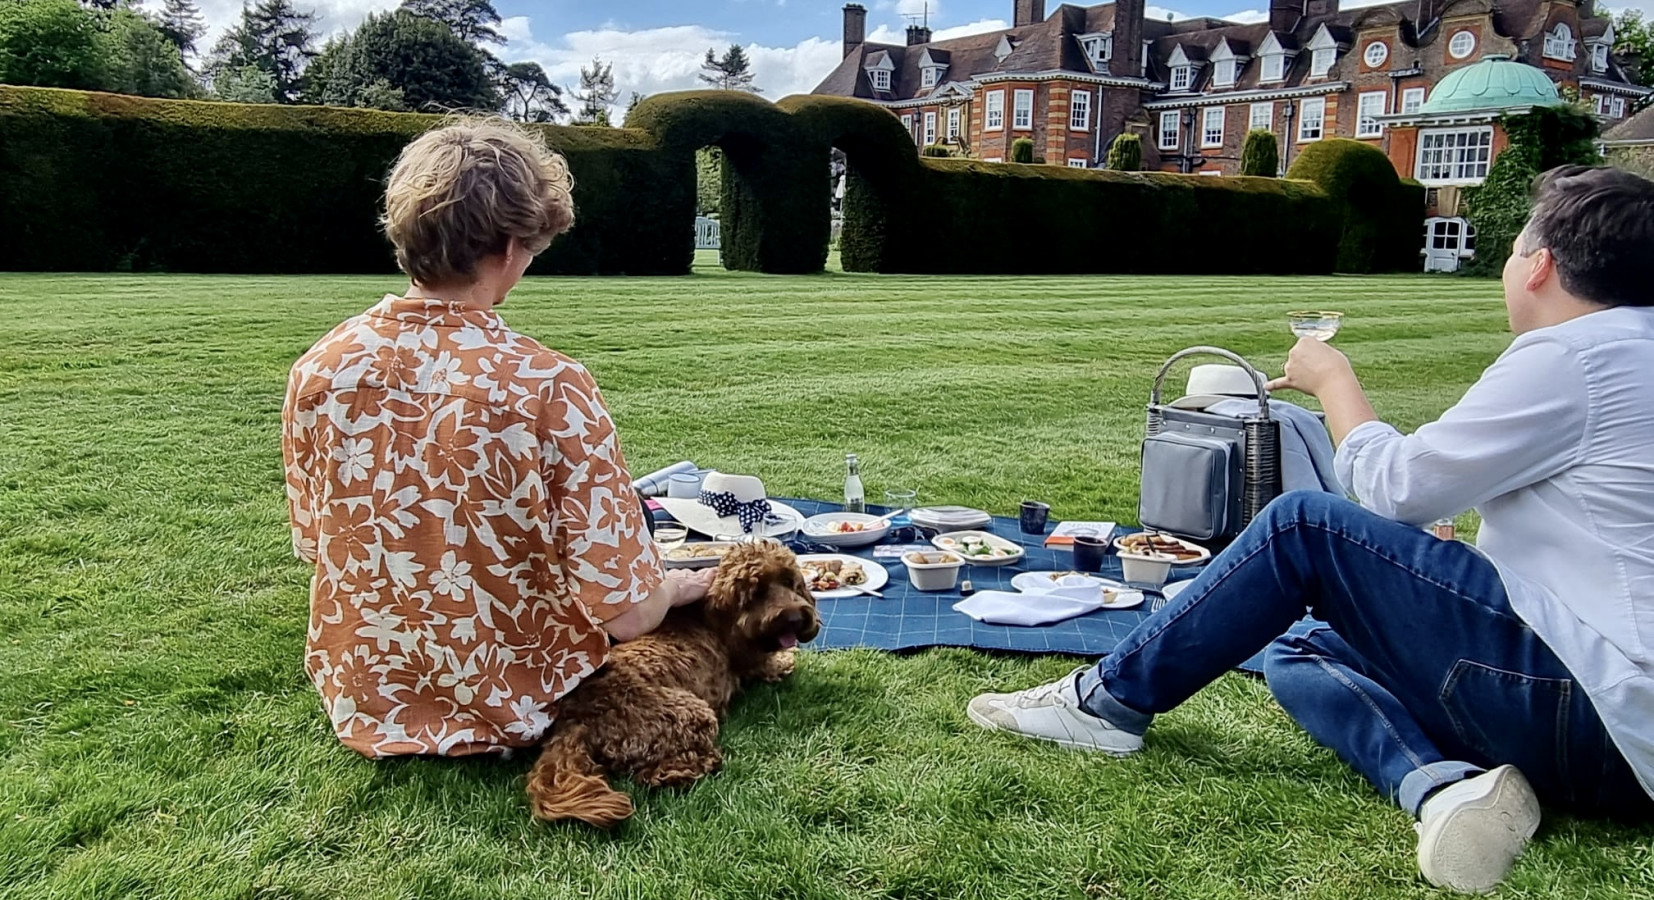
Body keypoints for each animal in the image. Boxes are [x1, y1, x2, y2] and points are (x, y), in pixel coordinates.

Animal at [525, 539, 817, 827]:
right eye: (757, 592)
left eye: (789, 582)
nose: (795, 618)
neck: (711, 617)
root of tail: (576, 718)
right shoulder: (748, 658)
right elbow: (771, 662)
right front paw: (786, 658)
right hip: (690, 713)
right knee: (654, 774)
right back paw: (701, 763)